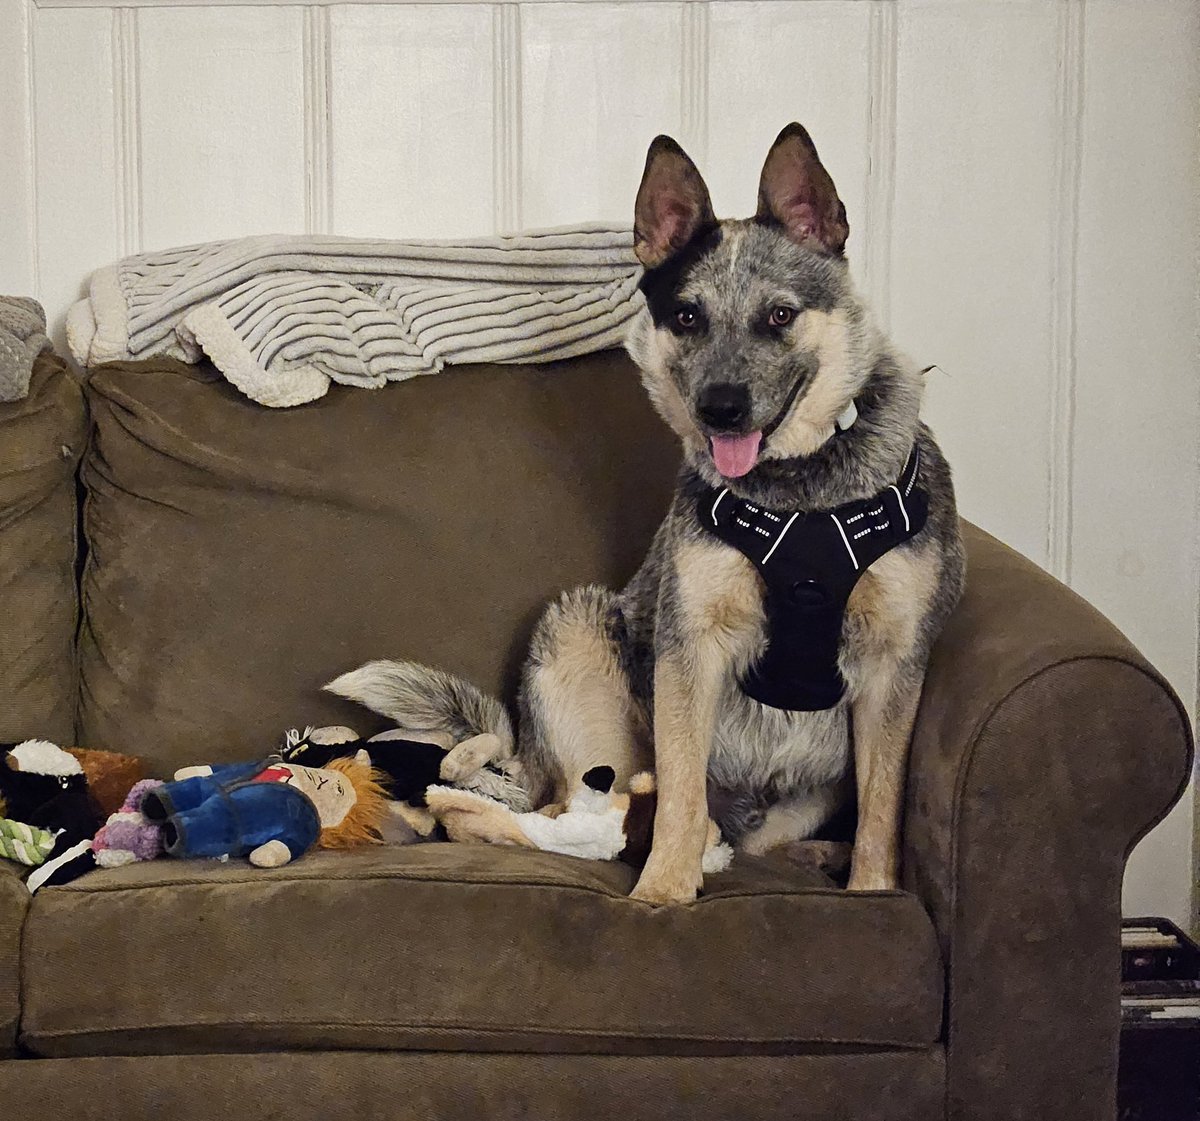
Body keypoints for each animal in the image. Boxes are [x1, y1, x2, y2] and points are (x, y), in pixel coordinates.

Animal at [328, 127, 964, 907]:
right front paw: (662, 892)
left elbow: (882, 807)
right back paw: (461, 807)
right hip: (577, 643)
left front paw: (872, 890)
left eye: (780, 315)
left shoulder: (892, 666)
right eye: (687, 317)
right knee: (549, 817)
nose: (720, 408)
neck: (798, 494)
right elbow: (683, 795)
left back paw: (814, 854)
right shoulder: (691, 647)